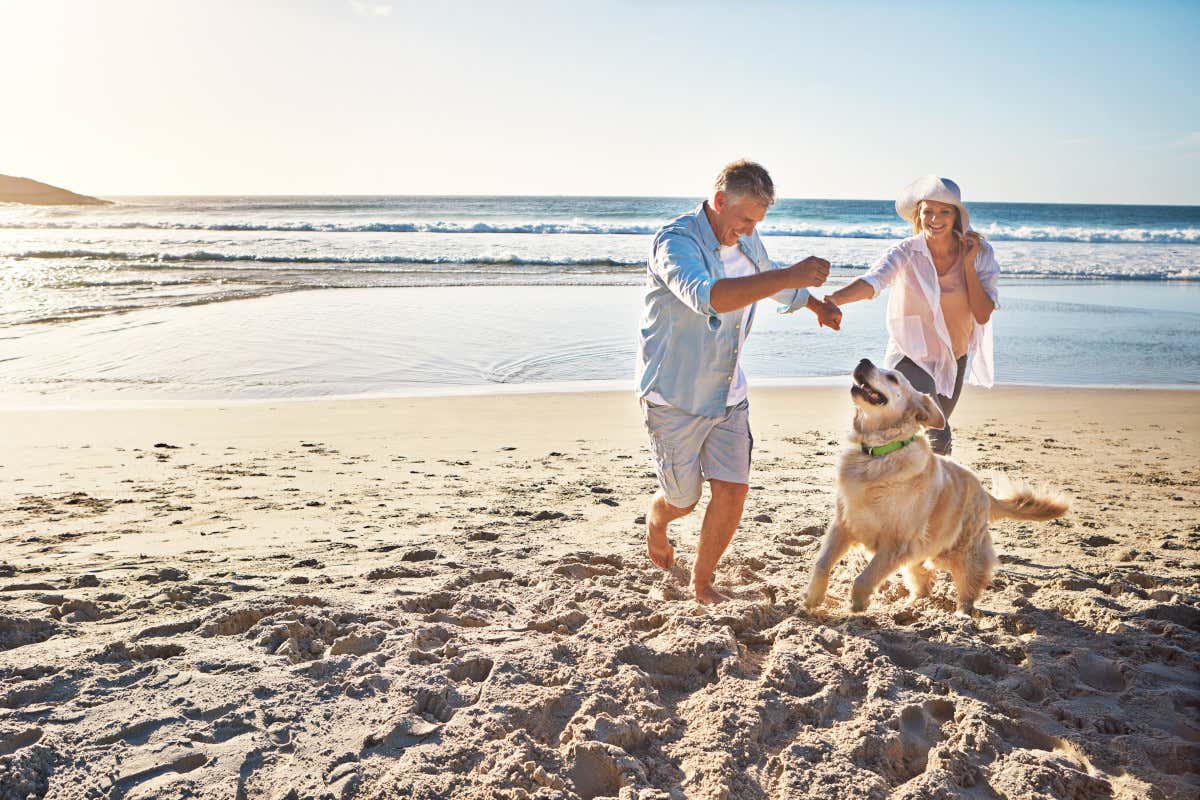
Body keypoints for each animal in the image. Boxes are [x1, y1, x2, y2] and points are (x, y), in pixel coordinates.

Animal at [806, 359, 1070, 618]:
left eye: (892, 377)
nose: (863, 361)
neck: (878, 455)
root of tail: (984, 492)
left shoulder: (896, 543)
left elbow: (865, 577)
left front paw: (857, 603)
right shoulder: (844, 525)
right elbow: (821, 563)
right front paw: (813, 598)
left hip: (963, 552)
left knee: (968, 587)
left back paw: (962, 615)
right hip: (920, 555)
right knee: (923, 583)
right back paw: (910, 606)